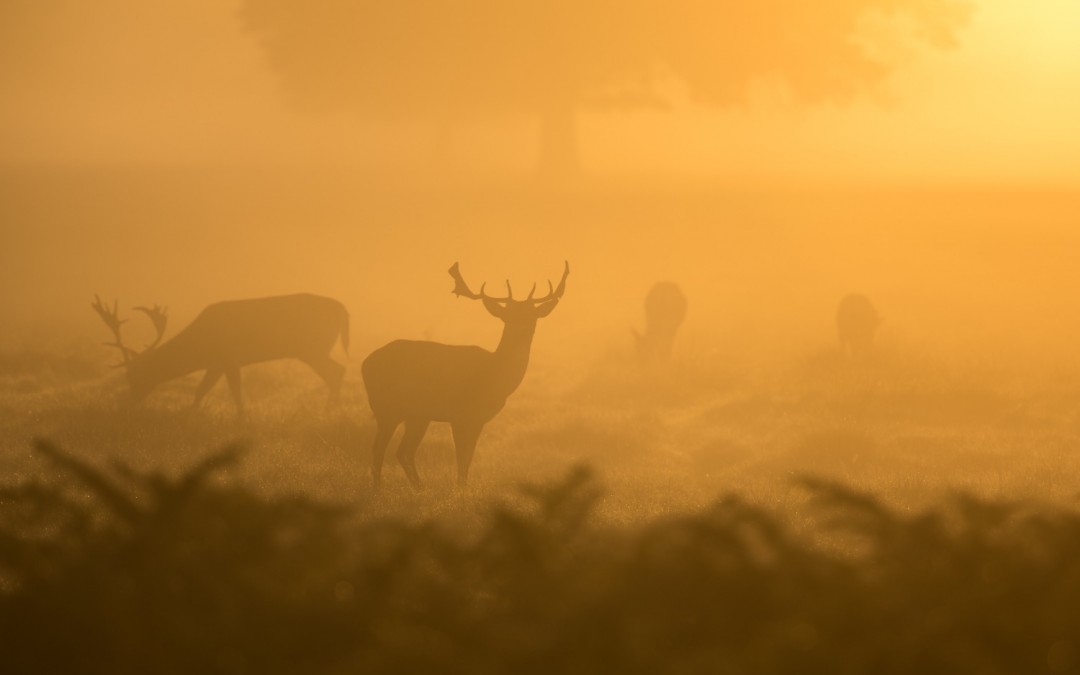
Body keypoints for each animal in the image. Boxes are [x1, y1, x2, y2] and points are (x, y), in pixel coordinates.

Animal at [91, 291, 349, 412]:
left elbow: (214, 391)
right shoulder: (222, 363)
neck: (200, 347)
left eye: (135, 375)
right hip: (314, 349)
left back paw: (329, 412)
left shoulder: (225, 358)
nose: (127, 404)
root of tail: (343, 309)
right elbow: (217, 391)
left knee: (337, 371)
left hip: (313, 348)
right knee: (338, 370)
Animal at [360, 260, 570, 486]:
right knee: (379, 449)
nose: (523, 329)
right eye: (508, 315)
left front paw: (463, 486)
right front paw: (460, 487)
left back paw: (418, 486)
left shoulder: (478, 419)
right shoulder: (460, 414)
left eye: (532, 315)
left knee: (402, 451)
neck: (494, 375)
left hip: (416, 415)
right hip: (386, 407)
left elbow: (468, 458)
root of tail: (365, 364)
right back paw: (380, 486)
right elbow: (461, 458)